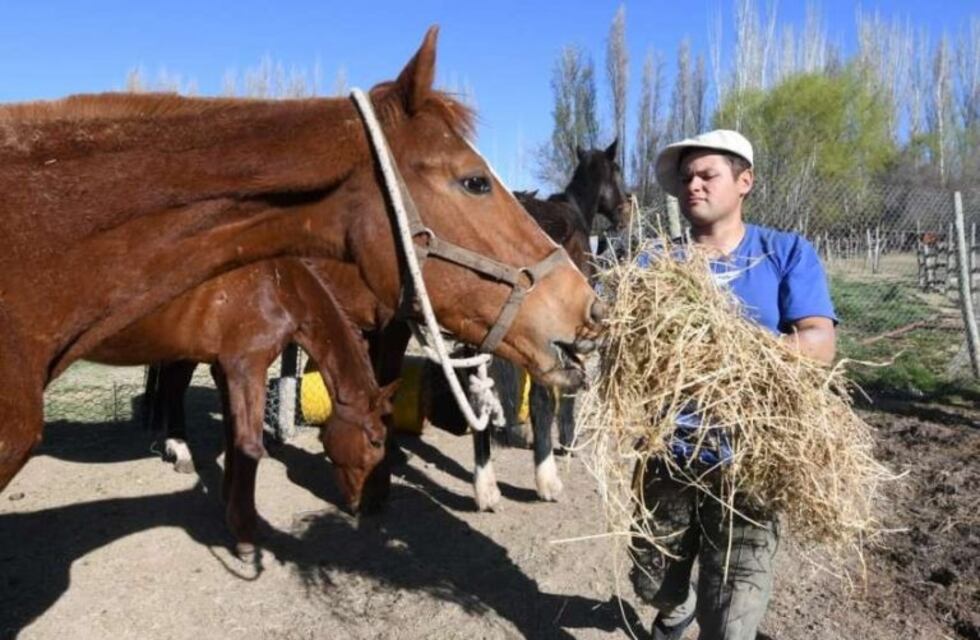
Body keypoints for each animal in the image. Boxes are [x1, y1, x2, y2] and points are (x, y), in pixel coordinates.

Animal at [87, 258, 395, 553]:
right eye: (376, 441)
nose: (361, 507)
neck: (279, 286)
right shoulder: (247, 368)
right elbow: (248, 444)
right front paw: (245, 533)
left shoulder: (226, 369)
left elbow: (232, 433)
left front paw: (228, 500)